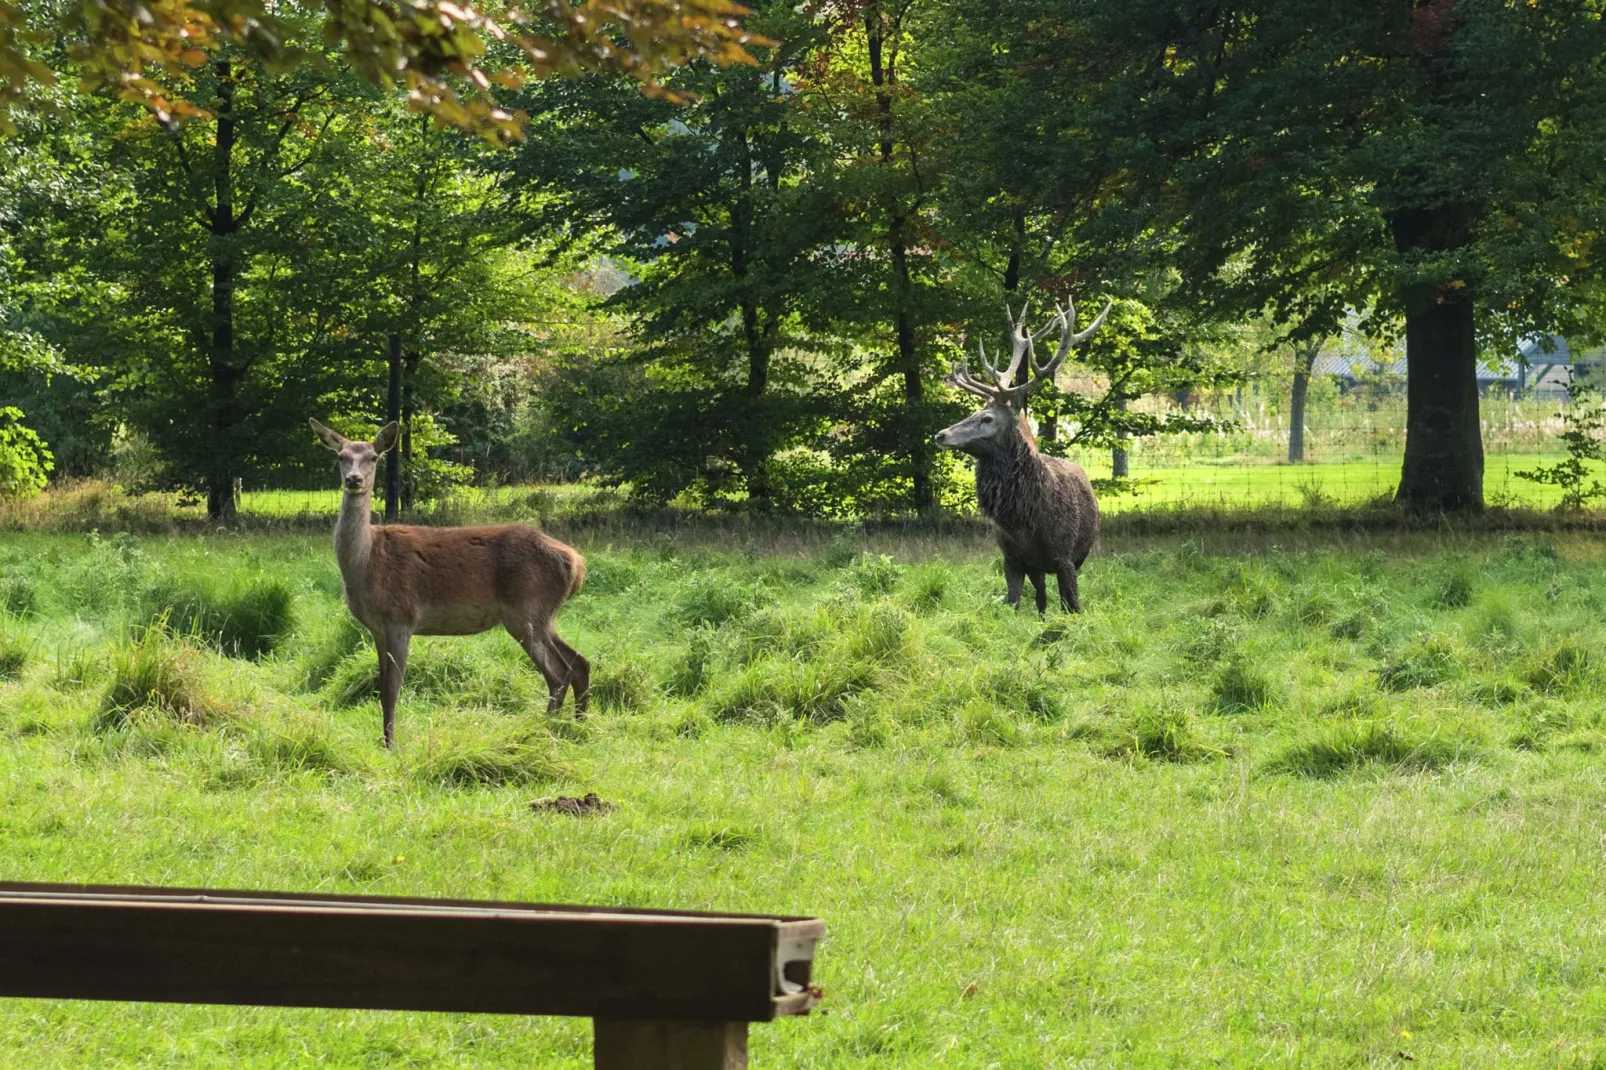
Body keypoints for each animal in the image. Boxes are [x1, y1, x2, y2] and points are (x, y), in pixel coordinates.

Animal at [313, 411, 591, 745]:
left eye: (373, 457)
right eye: (341, 456)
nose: (354, 479)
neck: (367, 564)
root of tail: (576, 563)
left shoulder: (401, 617)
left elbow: (392, 690)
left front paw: (391, 746)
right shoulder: (376, 628)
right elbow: (381, 690)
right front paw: (384, 741)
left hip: (526, 608)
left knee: (558, 673)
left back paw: (544, 731)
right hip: (544, 615)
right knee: (580, 663)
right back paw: (577, 727)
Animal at [937, 297, 1111, 616]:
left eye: (988, 418)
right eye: (975, 411)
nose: (940, 434)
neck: (1025, 520)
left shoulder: (1065, 556)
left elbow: (1072, 607)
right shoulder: (1012, 558)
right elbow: (1013, 604)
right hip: (1036, 568)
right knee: (1041, 601)